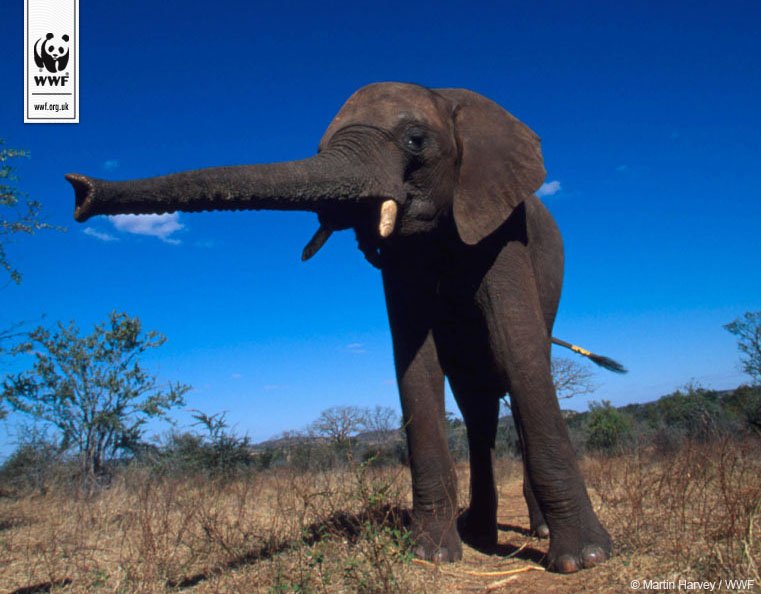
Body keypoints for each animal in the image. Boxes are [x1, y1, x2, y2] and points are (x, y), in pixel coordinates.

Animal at [66, 82, 625, 573]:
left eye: (415, 140)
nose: (79, 191)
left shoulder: (499, 221)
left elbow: (518, 349)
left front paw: (584, 560)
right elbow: (415, 363)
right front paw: (432, 555)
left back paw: (535, 532)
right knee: (476, 401)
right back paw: (479, 534)